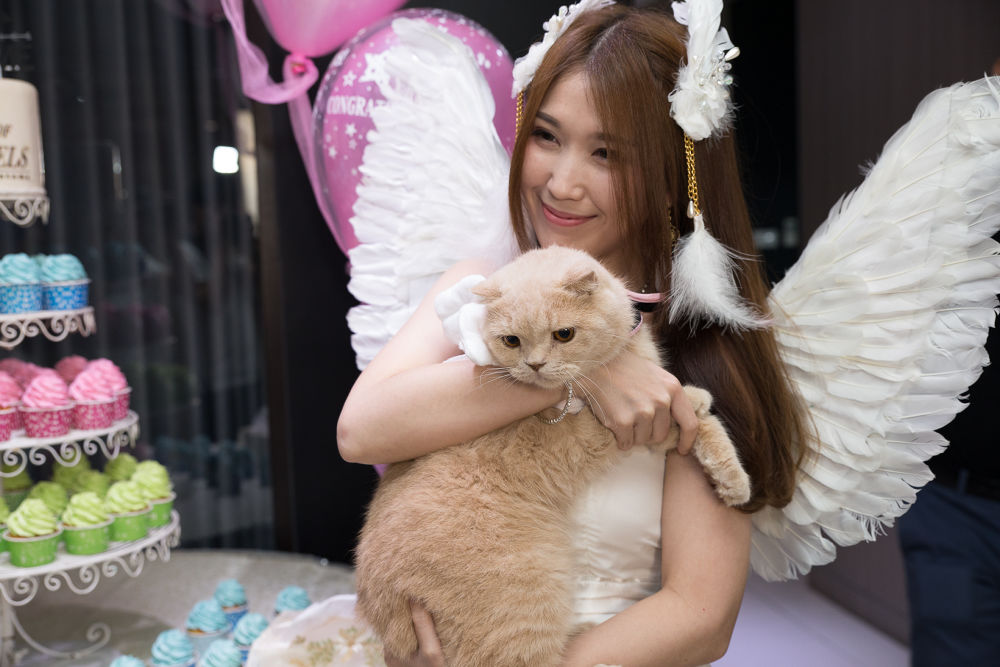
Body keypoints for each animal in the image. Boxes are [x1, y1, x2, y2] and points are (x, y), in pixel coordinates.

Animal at [354, 245, 751, 666]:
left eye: (564, 334)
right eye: (512, 340)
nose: (534, 364)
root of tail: (377, 607)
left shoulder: (645, 430)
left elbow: (702, 426)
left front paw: (729, 480)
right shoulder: (614, 429)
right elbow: (689, 412)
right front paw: (718, 443)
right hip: (523, 605)